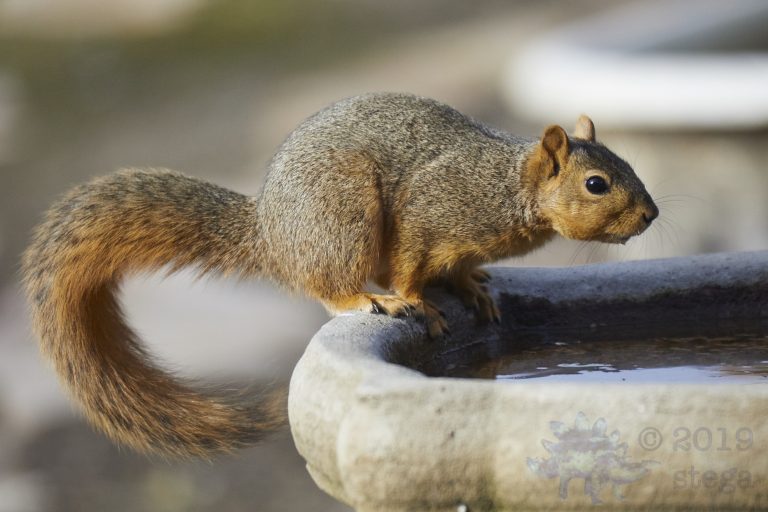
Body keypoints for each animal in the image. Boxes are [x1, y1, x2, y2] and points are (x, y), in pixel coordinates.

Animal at [22, 92, 658, 458]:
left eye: (628, 163)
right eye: (596, 184)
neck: (506, 187)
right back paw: (366, 301)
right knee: (324, 286)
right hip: (341, 214)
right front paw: (418, 302)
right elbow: (410, 266)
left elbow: (459, 271)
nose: (651, 215)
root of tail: (271, 233)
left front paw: (473, 289)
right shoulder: (429, 215)